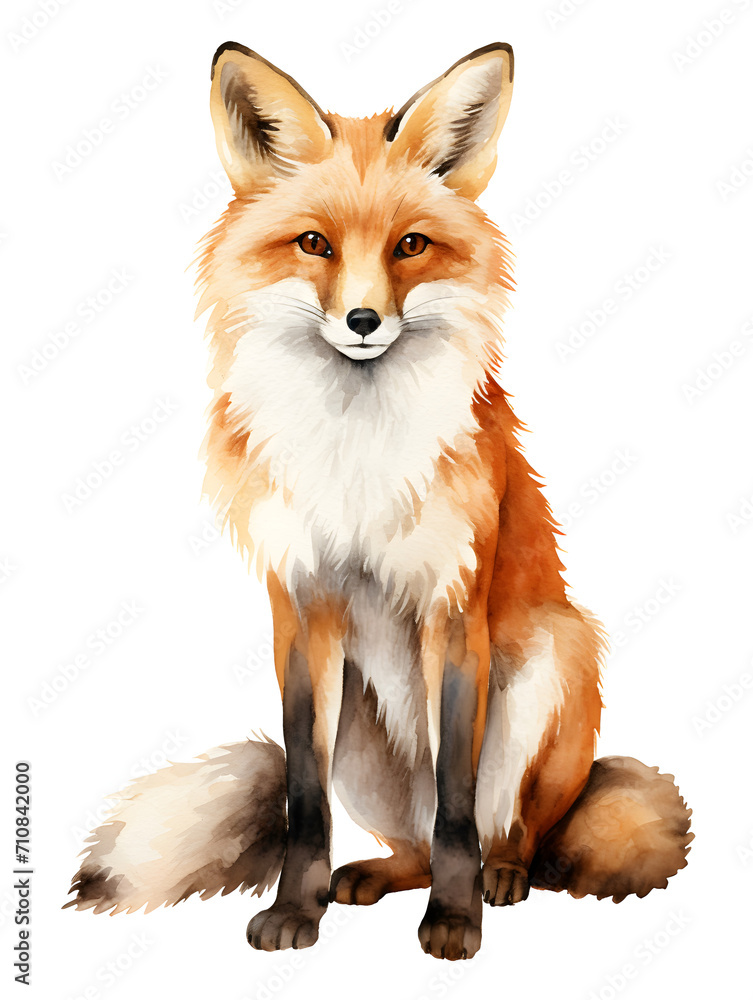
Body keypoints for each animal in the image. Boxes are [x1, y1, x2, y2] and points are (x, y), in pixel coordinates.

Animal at [68, 42, 692, 961]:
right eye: (314, 244)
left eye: (410, 245)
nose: (362, 320)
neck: (354, 448)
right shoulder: (301, 609)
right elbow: (303, 800)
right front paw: (297, 909)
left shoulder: (452, 610)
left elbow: (457, 801)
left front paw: (455, 922)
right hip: (361, 736)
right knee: (411, 840)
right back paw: (369, 877)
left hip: (553, 656)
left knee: (506, 829)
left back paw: (501, 877)